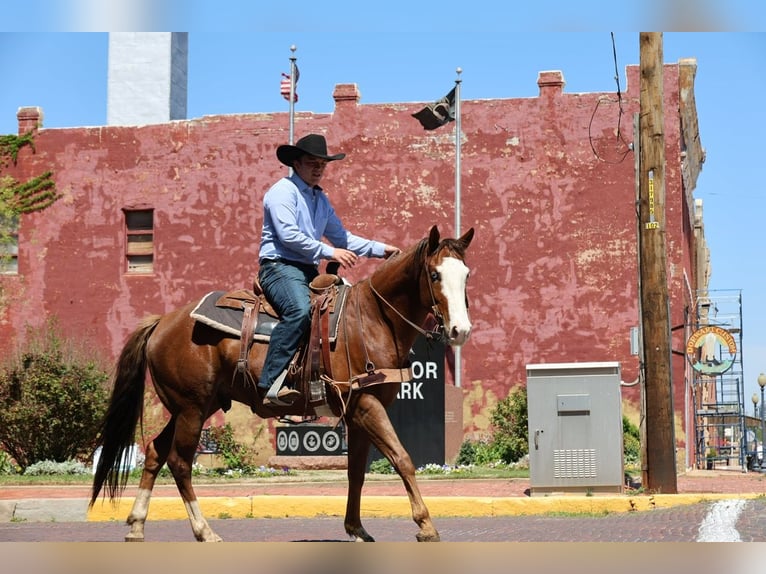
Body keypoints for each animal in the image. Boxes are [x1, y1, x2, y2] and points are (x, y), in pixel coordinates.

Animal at [90, 224, 474, 542]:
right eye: (435, 274)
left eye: (466, 275)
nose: (460, 331)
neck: (372, 319)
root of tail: (162, 322)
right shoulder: (366, 406)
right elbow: (402, 458)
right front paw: (425, 525)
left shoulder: (356, 413)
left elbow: (356, 472)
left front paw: (356, 528)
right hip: (191, 409)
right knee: (180, 462)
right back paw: (204, 530)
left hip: (195, 406)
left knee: (156, 451)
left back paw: (136, 525)